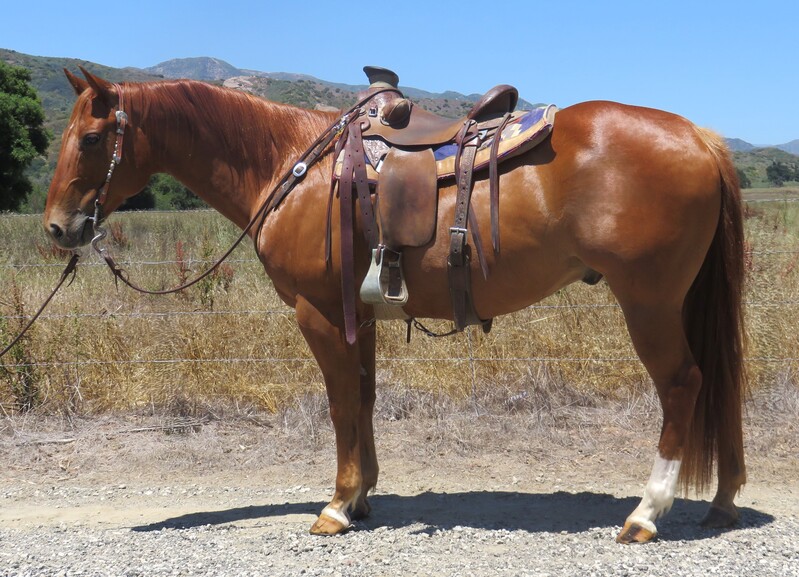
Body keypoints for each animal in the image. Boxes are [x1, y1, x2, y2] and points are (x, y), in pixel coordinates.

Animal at [43, 67, 748, 540]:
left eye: (90, 138)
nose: (57, 228)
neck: (290, 166)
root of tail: (700, 136)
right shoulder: (358, 314)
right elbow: (364, 398)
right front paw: (362, 497)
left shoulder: (318, 312)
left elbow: (339, 405)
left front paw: (335, 507)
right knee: (719, 383)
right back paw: (723, 501)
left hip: (649, 302)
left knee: (683, 384)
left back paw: (647, 513)